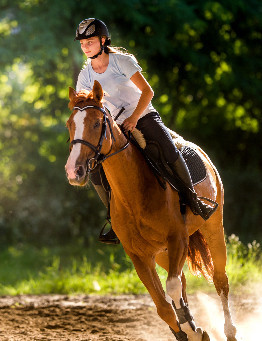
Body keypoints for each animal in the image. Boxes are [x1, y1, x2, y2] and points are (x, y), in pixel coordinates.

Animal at [65, 81, 237, 340]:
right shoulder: (139, 255)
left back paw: (229, 330)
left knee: (219, 279)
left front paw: (192, 329)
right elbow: (164, 306)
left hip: (213, 228)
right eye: (70, 124)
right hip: (163, 252)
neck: (133, 194)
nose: (74, 171)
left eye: (96, 123)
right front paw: (190, 331)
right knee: (182, 281)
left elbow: (172, 288)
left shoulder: (177, 239)